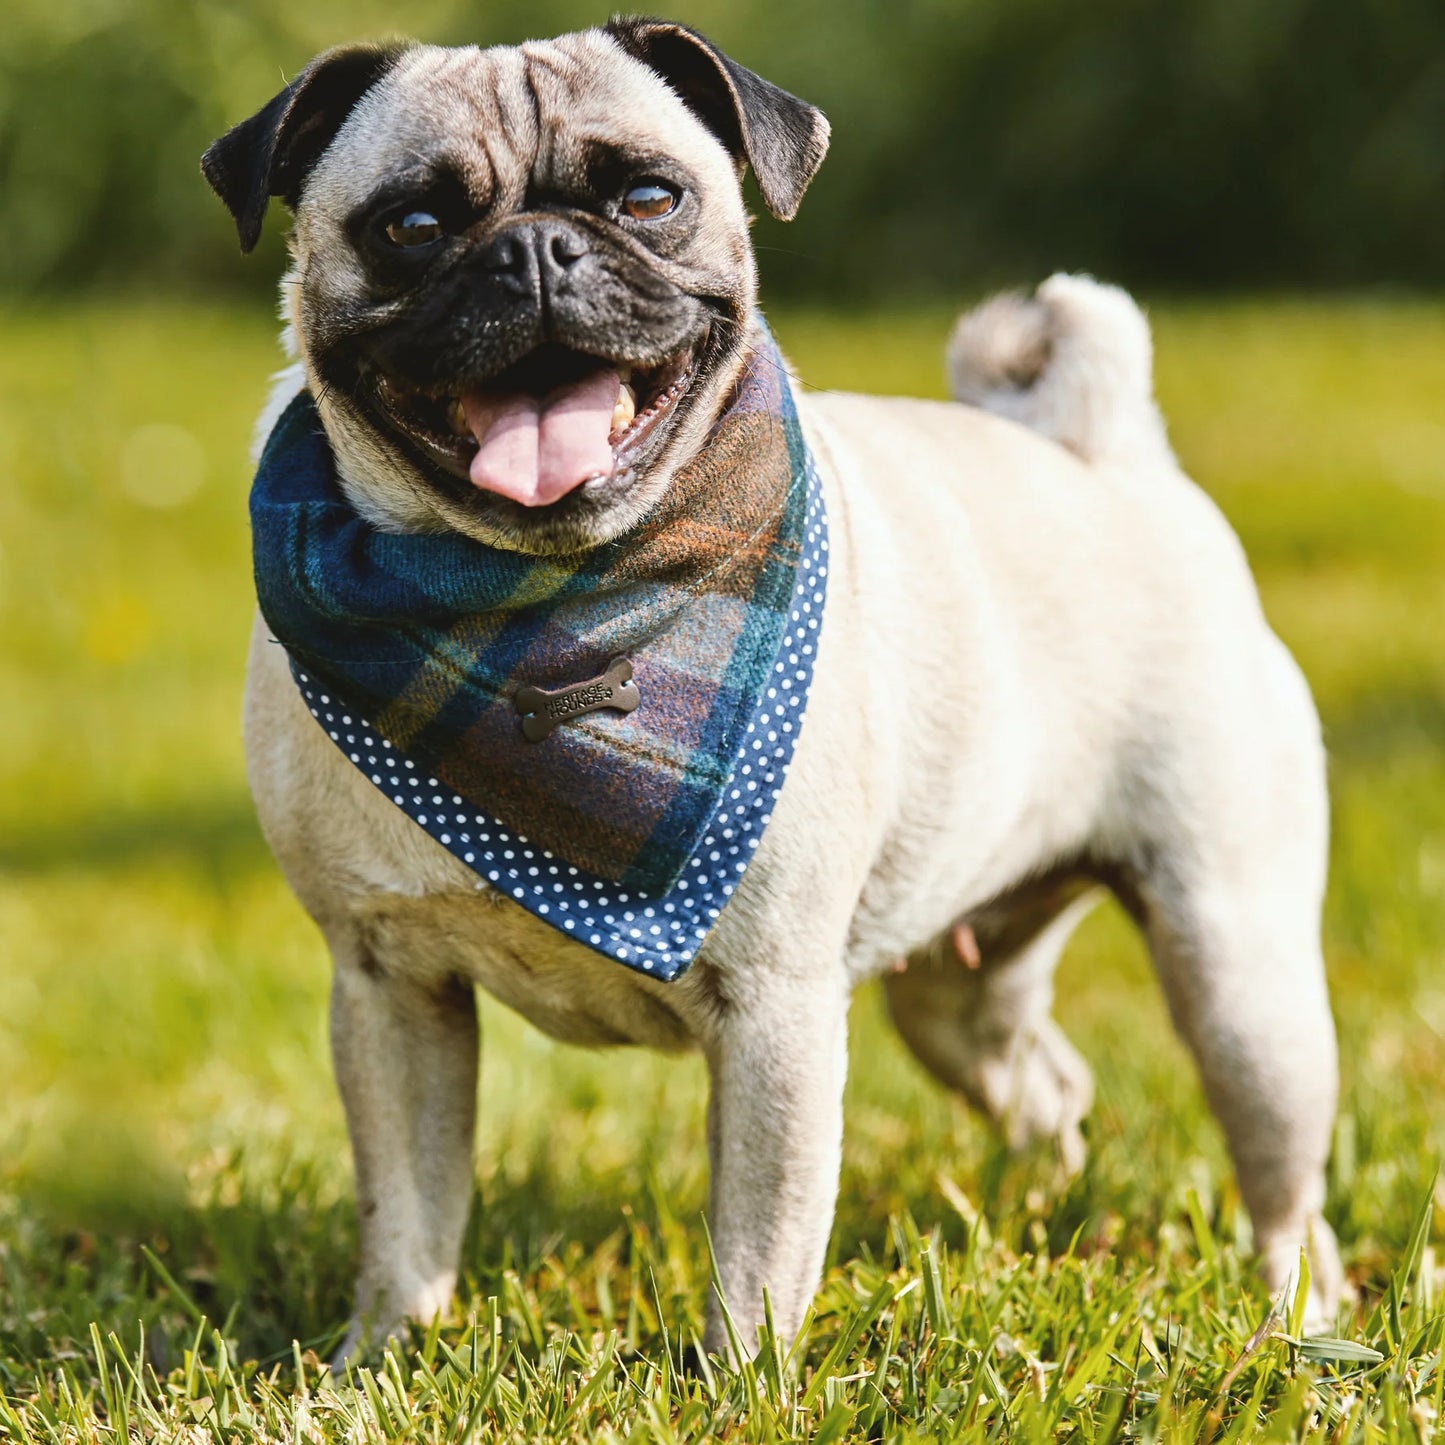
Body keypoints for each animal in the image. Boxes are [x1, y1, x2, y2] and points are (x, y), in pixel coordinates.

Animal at [203, 19, 1340, 1364]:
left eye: (650, 199)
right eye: (413, 226)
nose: (534, 248)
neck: (541, 601)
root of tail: (1103, 445)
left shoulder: (775, 1009)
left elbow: (757, 1242)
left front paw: (734, 1380)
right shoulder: (388, 987)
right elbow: (408, 1211)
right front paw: (380, 1360)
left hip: (1235, 967)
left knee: (1283, 1177)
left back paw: (1295, 1314)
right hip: (957, 990)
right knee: (1043, 1082)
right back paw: (1042, 1209)